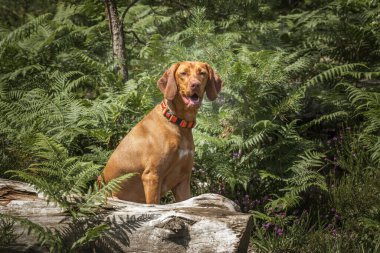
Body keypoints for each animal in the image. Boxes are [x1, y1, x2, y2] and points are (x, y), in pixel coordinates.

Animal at [99, 61, 223, 204]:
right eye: (183, 73)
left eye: (202, 73)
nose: (195, 84)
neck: (177, 123)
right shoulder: (152, 176)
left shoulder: (182, 181)